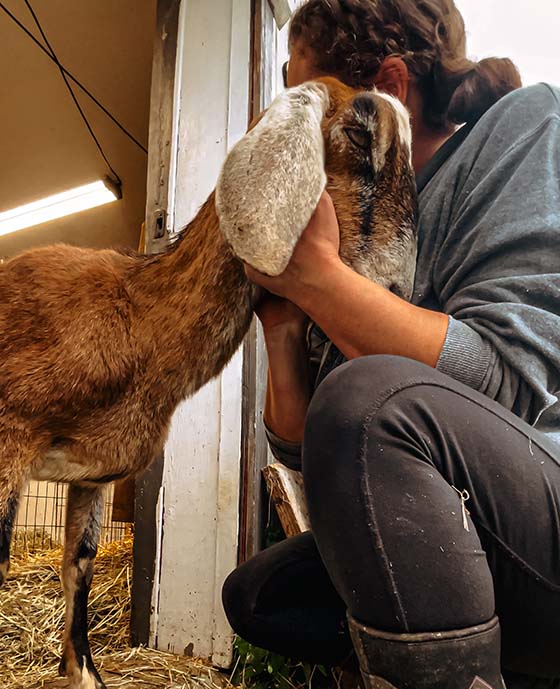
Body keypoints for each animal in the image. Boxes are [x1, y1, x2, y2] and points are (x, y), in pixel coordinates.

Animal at [0, 76, 416, 688]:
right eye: (361, 137)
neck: (136, 317)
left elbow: (79, 565)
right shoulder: (11, 437)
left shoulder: (91, 475)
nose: (398, 290)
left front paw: (85, 675)